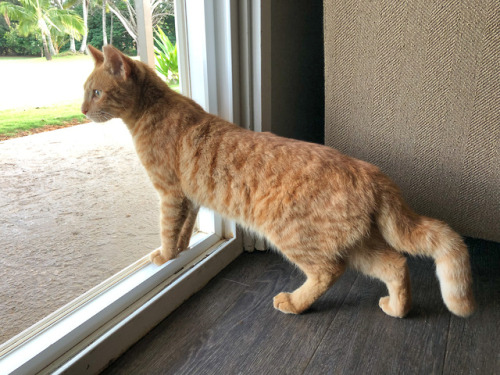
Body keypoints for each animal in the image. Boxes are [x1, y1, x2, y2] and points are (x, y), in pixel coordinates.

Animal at [82, 45, 476, 318]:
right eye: (86, 92)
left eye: (96, 93)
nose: (82, 111)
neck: (152, 110)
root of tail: (370, 171)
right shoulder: (189, 198)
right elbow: (184, 229)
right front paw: (179, 251)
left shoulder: (169, 194)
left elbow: (167, 229)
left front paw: (165, 256)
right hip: (356, 244)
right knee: (396, 264)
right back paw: (398, 310)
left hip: (293, 235)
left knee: (329, 272)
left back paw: (295, 303)